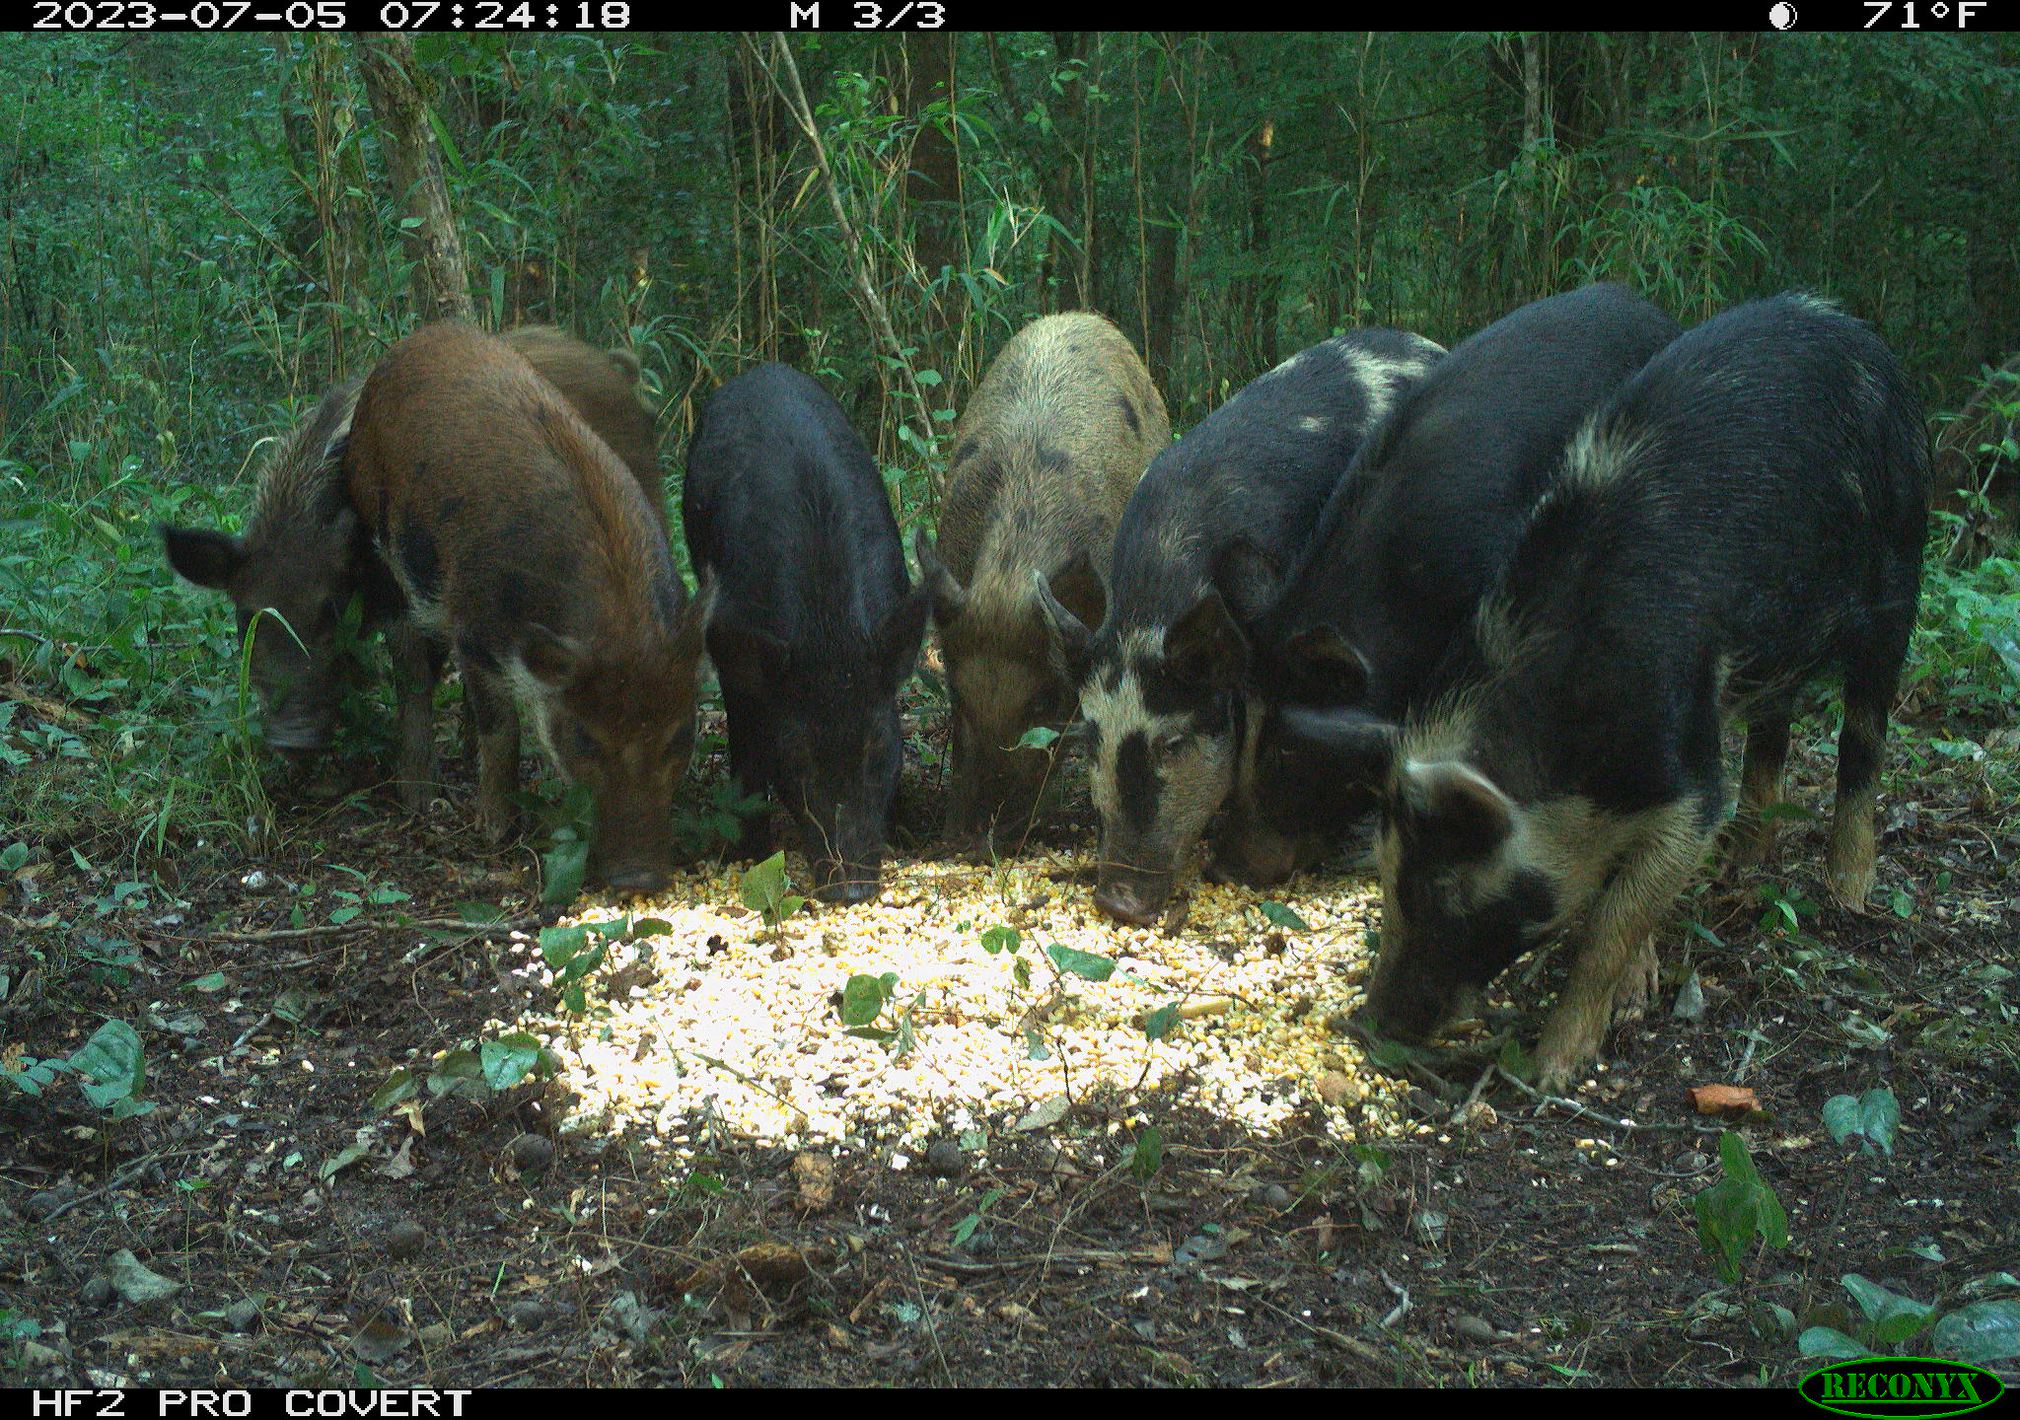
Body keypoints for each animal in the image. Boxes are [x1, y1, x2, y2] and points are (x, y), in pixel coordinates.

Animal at [160, 325, 663, 774]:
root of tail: (616, 367)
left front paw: (415, 790)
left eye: (330, 610)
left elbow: (416, 677)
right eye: (247, 617)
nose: (293, 739)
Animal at [343, 321, 706, 894]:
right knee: (411, 671)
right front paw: (497, 832)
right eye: (584, 738)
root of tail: (424, 338)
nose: (638, 877)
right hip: (379, 538)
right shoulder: (472, 627)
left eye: (682, 734)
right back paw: (422, 798)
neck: (618, 626)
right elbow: (503, 729)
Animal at [682, 362, 930, 905]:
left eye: (879, 747)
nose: (851, 889)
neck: (827, 633)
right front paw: (749, 853)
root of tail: (763, 369)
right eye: (796, 758)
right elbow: (748, 746)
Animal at [1288, 292, 1928, 1087]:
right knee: (1773, 730)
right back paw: (1743, 871)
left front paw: (1551, 1071)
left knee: (1865, 734)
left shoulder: (1685, 773)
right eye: (1386, 877)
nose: (1373, 1025)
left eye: (1446, 898)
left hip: (1901, 566)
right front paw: (1633, 996)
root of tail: (1847, 324)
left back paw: (1849, 893)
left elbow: (1612, 922)